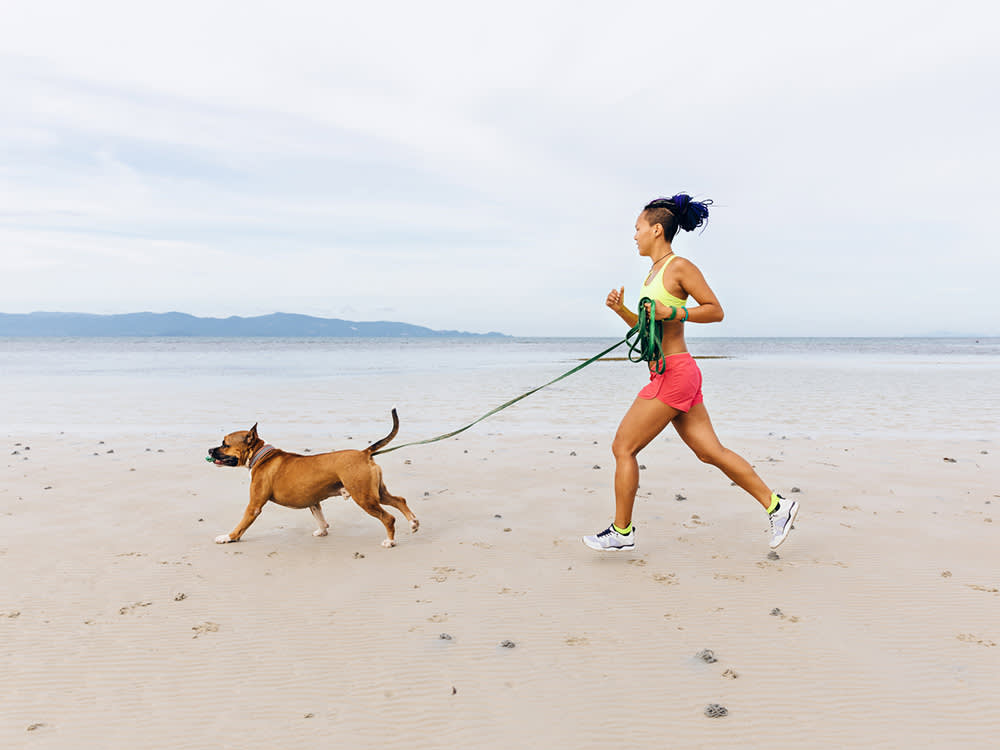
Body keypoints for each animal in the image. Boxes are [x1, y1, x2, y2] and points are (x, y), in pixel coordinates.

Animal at [208, 408, 418, 548]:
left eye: (225, 444)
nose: (209, 450)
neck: (261, 455)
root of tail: (364, 453)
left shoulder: (254, 507)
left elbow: (241, 524)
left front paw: (229, 537)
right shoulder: (313, 500)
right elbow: (320, 517)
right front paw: (323, 531)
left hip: (364, 498)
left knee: (388, 518)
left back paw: (390, 541)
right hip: (376, 493)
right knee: (399, 500)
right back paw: (413, 523)